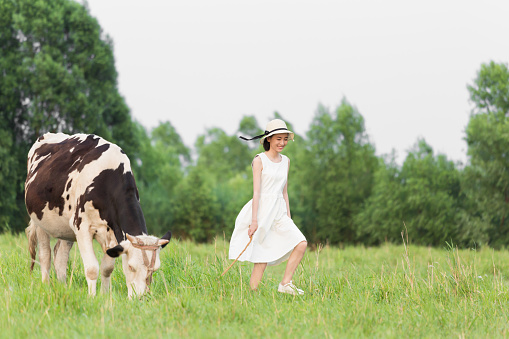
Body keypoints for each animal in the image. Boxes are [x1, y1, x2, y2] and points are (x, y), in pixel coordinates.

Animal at [24, 133, 172, 298]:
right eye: (130, 266)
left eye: (155, 270)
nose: (140, 298)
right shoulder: (82, 227)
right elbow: (92, 268)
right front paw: (92, 297)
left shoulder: (114, 233)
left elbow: (107, 268)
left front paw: (104, 295)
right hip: (40, 222)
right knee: (45, 256)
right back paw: (46, 286)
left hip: (66, 227)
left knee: (60, 258)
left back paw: (63, 287)